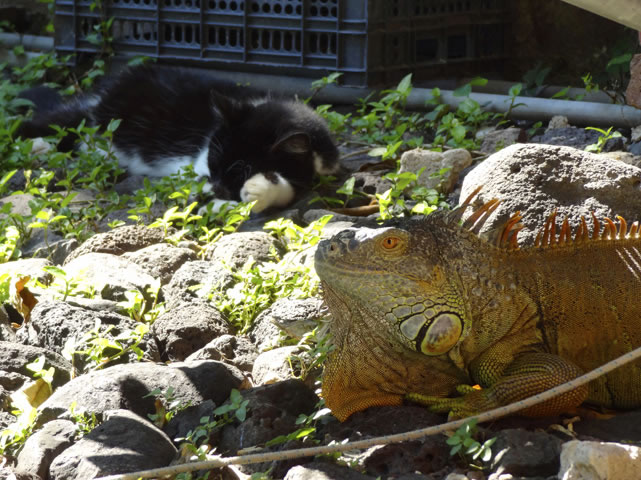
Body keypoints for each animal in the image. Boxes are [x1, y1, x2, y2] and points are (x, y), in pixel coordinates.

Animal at [17, 65, 340, 212]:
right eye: (213, 163)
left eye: (240, 172)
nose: (215, 186)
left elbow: (295, 186)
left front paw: (260, 189)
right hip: (98, 116)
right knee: (60, 121)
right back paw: (37, 146)